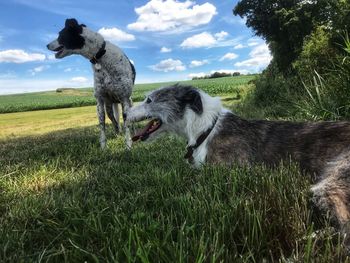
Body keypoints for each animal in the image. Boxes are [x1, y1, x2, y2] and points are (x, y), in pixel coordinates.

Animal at [46, 18, 134, 150]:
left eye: (60, 35)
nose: (46, 45)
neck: (100, 55)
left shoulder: (124, 98)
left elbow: (126, 123)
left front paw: (128, 145)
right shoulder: (100, 101)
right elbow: (102, 125)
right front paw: (103, 147)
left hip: (129, 102)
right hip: (109, 106)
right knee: (115, 122)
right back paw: (117, 134)